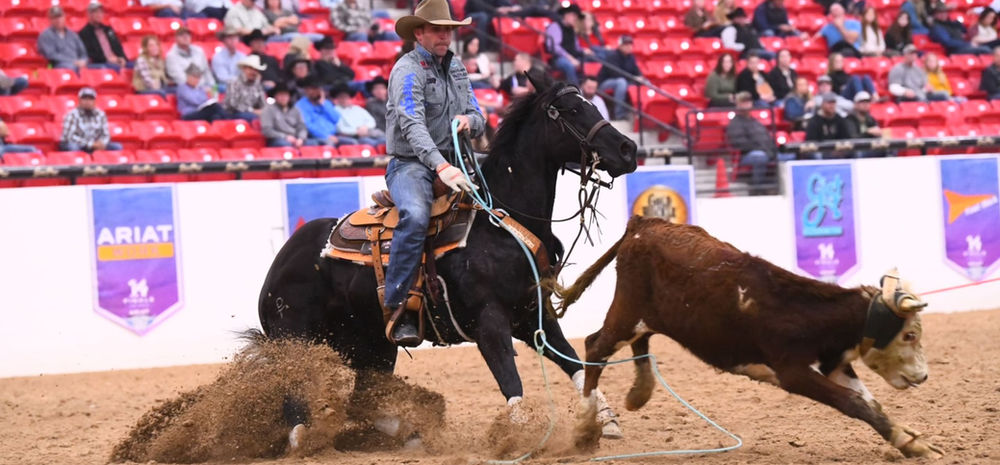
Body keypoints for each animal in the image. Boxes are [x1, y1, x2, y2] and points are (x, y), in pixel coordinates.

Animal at [257, 70, 638, 447]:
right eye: (572, 110)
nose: (629, 149)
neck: (500, 224)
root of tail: (280, 262)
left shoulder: (533, 315)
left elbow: (574, 364)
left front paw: (606, 420)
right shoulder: (489, 322)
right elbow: (510, 381)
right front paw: (519, 436)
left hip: (374, 345)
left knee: (362, 399)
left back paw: (408, 432)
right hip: (296, 341)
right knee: (294, 396)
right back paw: (302, 438)